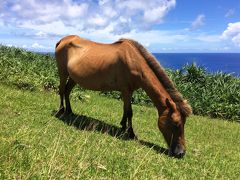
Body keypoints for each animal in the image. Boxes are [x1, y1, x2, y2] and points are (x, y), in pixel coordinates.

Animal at [55, 34, 192, 158]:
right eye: (175, 123)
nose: (181, 152)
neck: (134, 61)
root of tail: (62, 40)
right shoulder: (126, 90)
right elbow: (129, 112)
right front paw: (131, 133)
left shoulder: (128, 91)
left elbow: (125, 110)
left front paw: (123, 126)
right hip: (63, 72)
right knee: (61, 90)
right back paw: (61, 110)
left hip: (73, 77)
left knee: (67, 91)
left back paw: (69, 111)